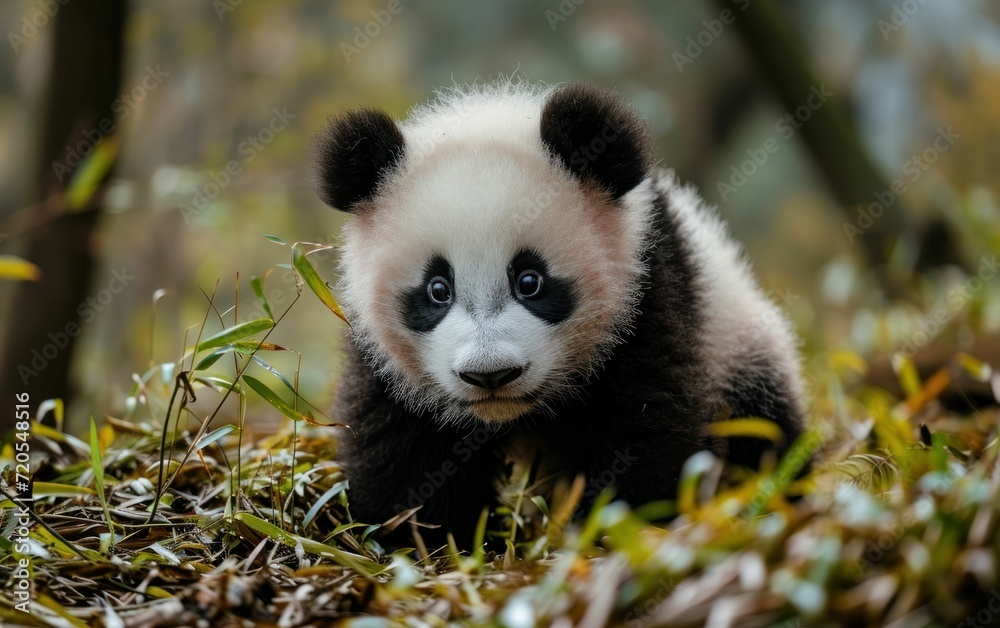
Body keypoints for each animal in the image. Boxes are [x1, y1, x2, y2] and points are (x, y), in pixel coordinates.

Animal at [311, 81, 806, 547]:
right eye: (437, 290)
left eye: (530, 281)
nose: (490, 375)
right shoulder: (380, 353)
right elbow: (404, 452)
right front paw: (432, 541)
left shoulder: (646, 293)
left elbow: (646, 424)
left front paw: (610, 530)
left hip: (739, 349)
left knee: (765, 434)